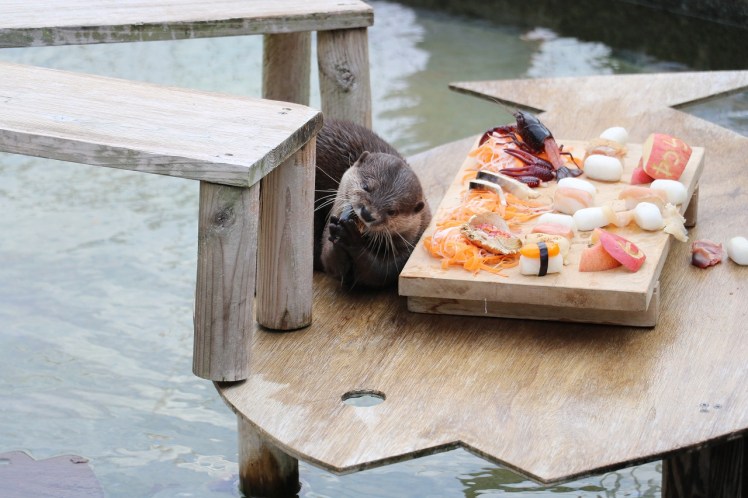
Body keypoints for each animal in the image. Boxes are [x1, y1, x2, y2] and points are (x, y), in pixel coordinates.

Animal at [314, 119, 431, 289]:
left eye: (392, 211)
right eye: (366, 187)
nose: (367, 213)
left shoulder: (411, 246)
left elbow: (379, 272)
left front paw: (351, 238)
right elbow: (330, 262)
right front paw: (337, 231)